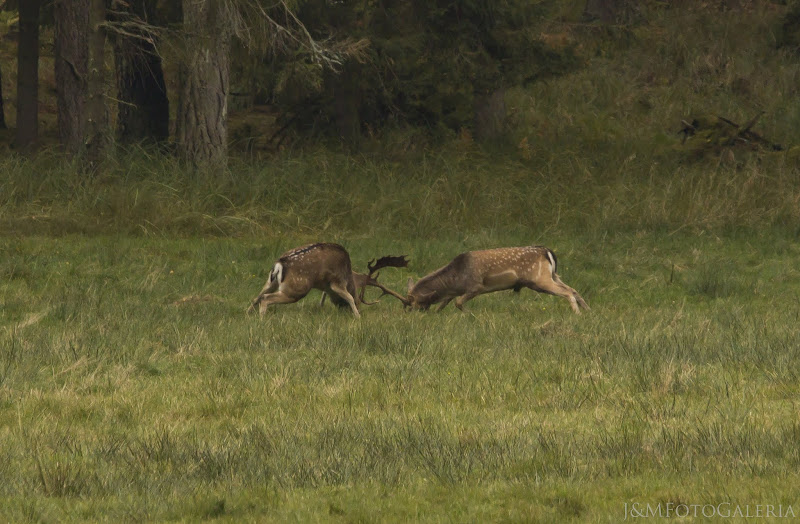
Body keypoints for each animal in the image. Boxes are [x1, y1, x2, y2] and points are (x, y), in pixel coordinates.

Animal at [406, 245, 588, 314]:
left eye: (417, 303)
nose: (412, 313)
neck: (455, 279)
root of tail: (547, 251)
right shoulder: (456, 291)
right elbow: (444, 303)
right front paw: (437, 313)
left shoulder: (476, 286)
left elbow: (458, 303)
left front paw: (470, 315)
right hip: (552, 276)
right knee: (573, 289)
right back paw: (587, 311)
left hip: (540, 279)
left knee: (567, 292)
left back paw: (577, 313)